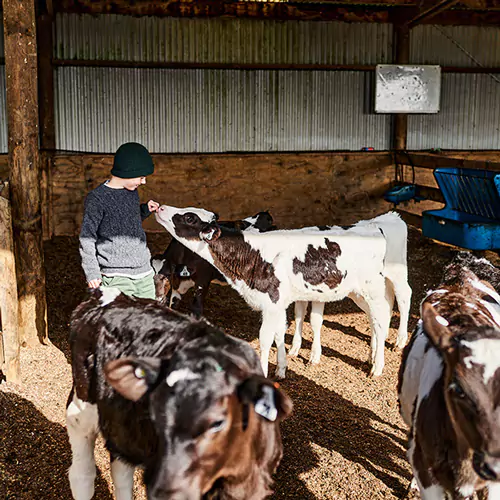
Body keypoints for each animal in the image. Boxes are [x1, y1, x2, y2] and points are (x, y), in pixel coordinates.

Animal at [154, 205, 396, 376]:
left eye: (189, 218)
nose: (159, 207)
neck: (252, 253)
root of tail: (372, 227)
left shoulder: (271, 303)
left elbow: (265, 339)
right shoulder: (276, 304)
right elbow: (280, 332)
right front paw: (281, 368)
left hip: (372, 288)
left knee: (382, 319)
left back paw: (378, 366)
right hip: (357, 292)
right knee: (373, 320)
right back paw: (371, 355)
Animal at [288, 211, 412, 364]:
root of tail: (391, 217)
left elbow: (314, 320)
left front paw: (314, 356)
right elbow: (299, 315)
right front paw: (294, 349)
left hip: (397, 272)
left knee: (404, 297)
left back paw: (400, 340)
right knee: (384, 304)